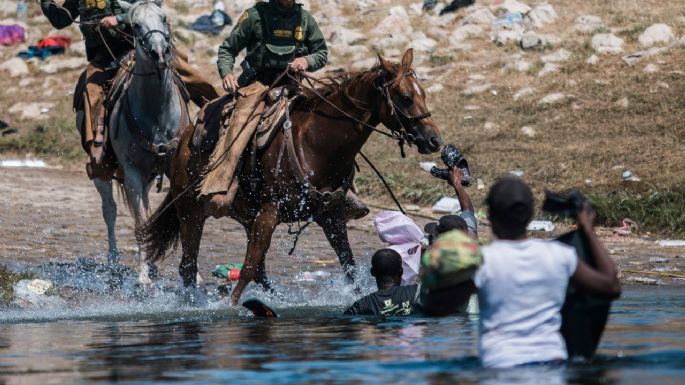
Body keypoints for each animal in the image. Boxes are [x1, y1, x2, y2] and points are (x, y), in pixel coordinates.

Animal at [90, 0, 190, 284]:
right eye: (135, 25)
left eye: (164, 18)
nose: (159, 53)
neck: (157, 114)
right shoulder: (132, 173)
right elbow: (139, 223)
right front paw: (143, 276)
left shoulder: (175, 168)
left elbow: (181, 217)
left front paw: (195, 276)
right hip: (103, 172)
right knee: (110, 211)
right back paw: (115, 264)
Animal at [138, 49, 444, 304]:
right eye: (406, 98)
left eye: (424, 94)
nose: (434, 140)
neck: (317, 144)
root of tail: (185, 138)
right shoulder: (270, 213)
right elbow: (247, 268)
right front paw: (230, 307)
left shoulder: (331, 216)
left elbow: (349, 265)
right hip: (191, 210)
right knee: (189, 266)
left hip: (246, 216)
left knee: (258, 270)